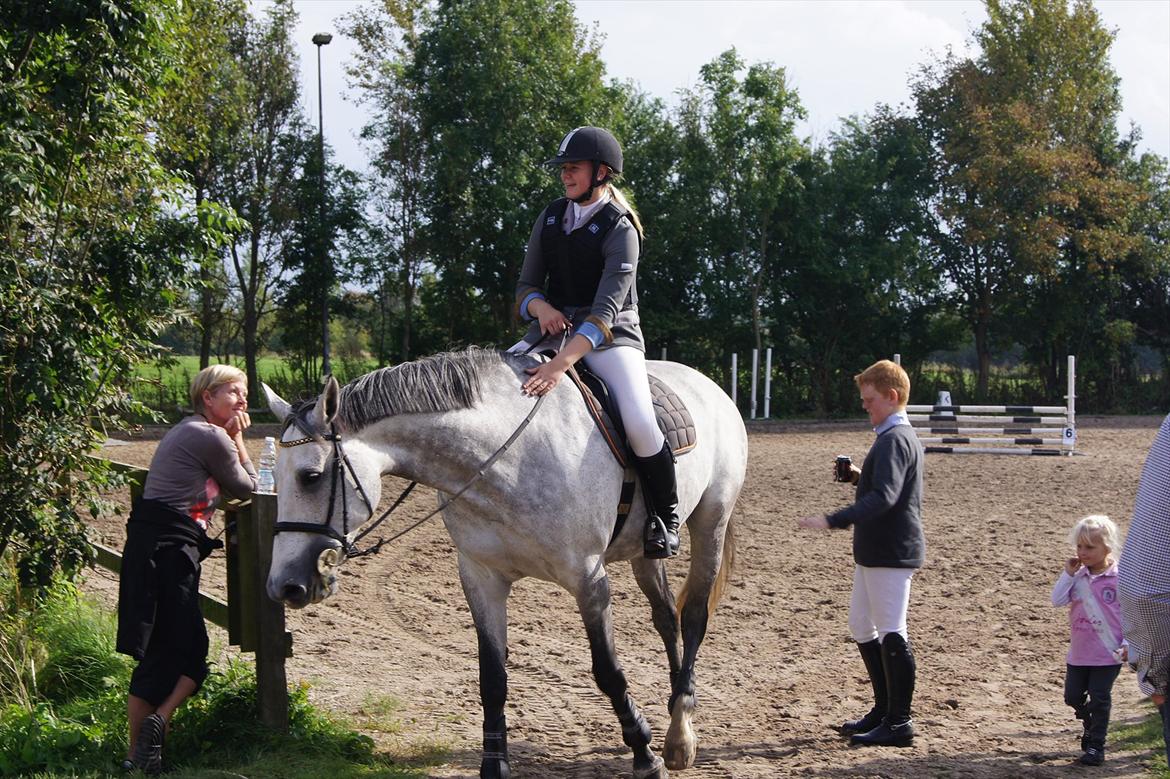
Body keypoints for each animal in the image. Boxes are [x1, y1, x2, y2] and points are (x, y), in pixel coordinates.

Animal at [260, 346, 744, 776]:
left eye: (311, 476)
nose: (284, 586)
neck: (504, 459)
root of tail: (708, 385)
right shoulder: (481, 577)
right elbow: (492, 678)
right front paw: (495, 764)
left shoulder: (588, 579)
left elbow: (607, 670)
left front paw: (643, 755)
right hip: (645, 553)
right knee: (665, 617)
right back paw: (676, 719)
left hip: (710, 523)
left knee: (694, 617)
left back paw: (679, 736)